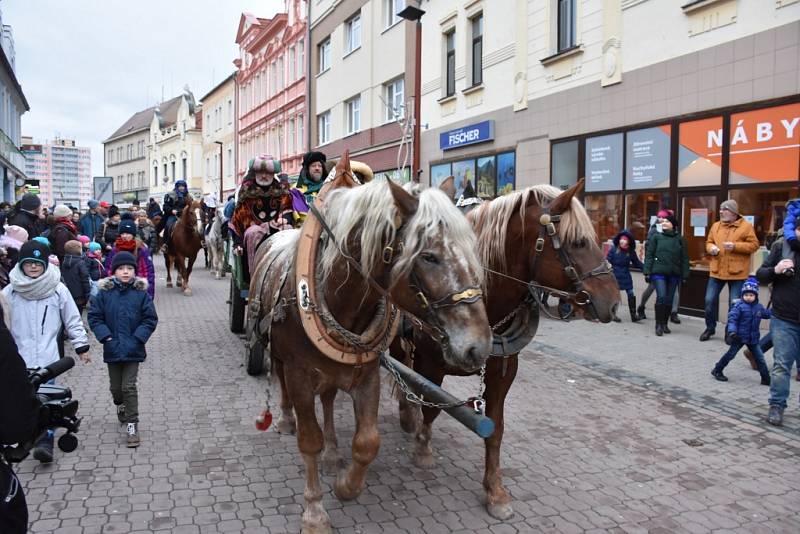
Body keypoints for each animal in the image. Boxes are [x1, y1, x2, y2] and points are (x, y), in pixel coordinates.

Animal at [252, 153, 494, 532]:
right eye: (429, 256)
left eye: (473, 250)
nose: (478, 346)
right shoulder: (301, 374)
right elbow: (309, 440)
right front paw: (314, 511)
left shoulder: (366, 373)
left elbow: (368, 442)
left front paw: (346, 485)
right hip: (277, 352)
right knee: (283, 384)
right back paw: (286, 420)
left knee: (329, 399)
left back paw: (334, 453)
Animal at [396, 178, 620, 520]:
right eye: (579, 242)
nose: (614, 302)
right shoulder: (431, 363)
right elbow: (431, 406)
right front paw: (423, 448)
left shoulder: (503, 372)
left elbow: (496, 429)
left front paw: (495, 491)